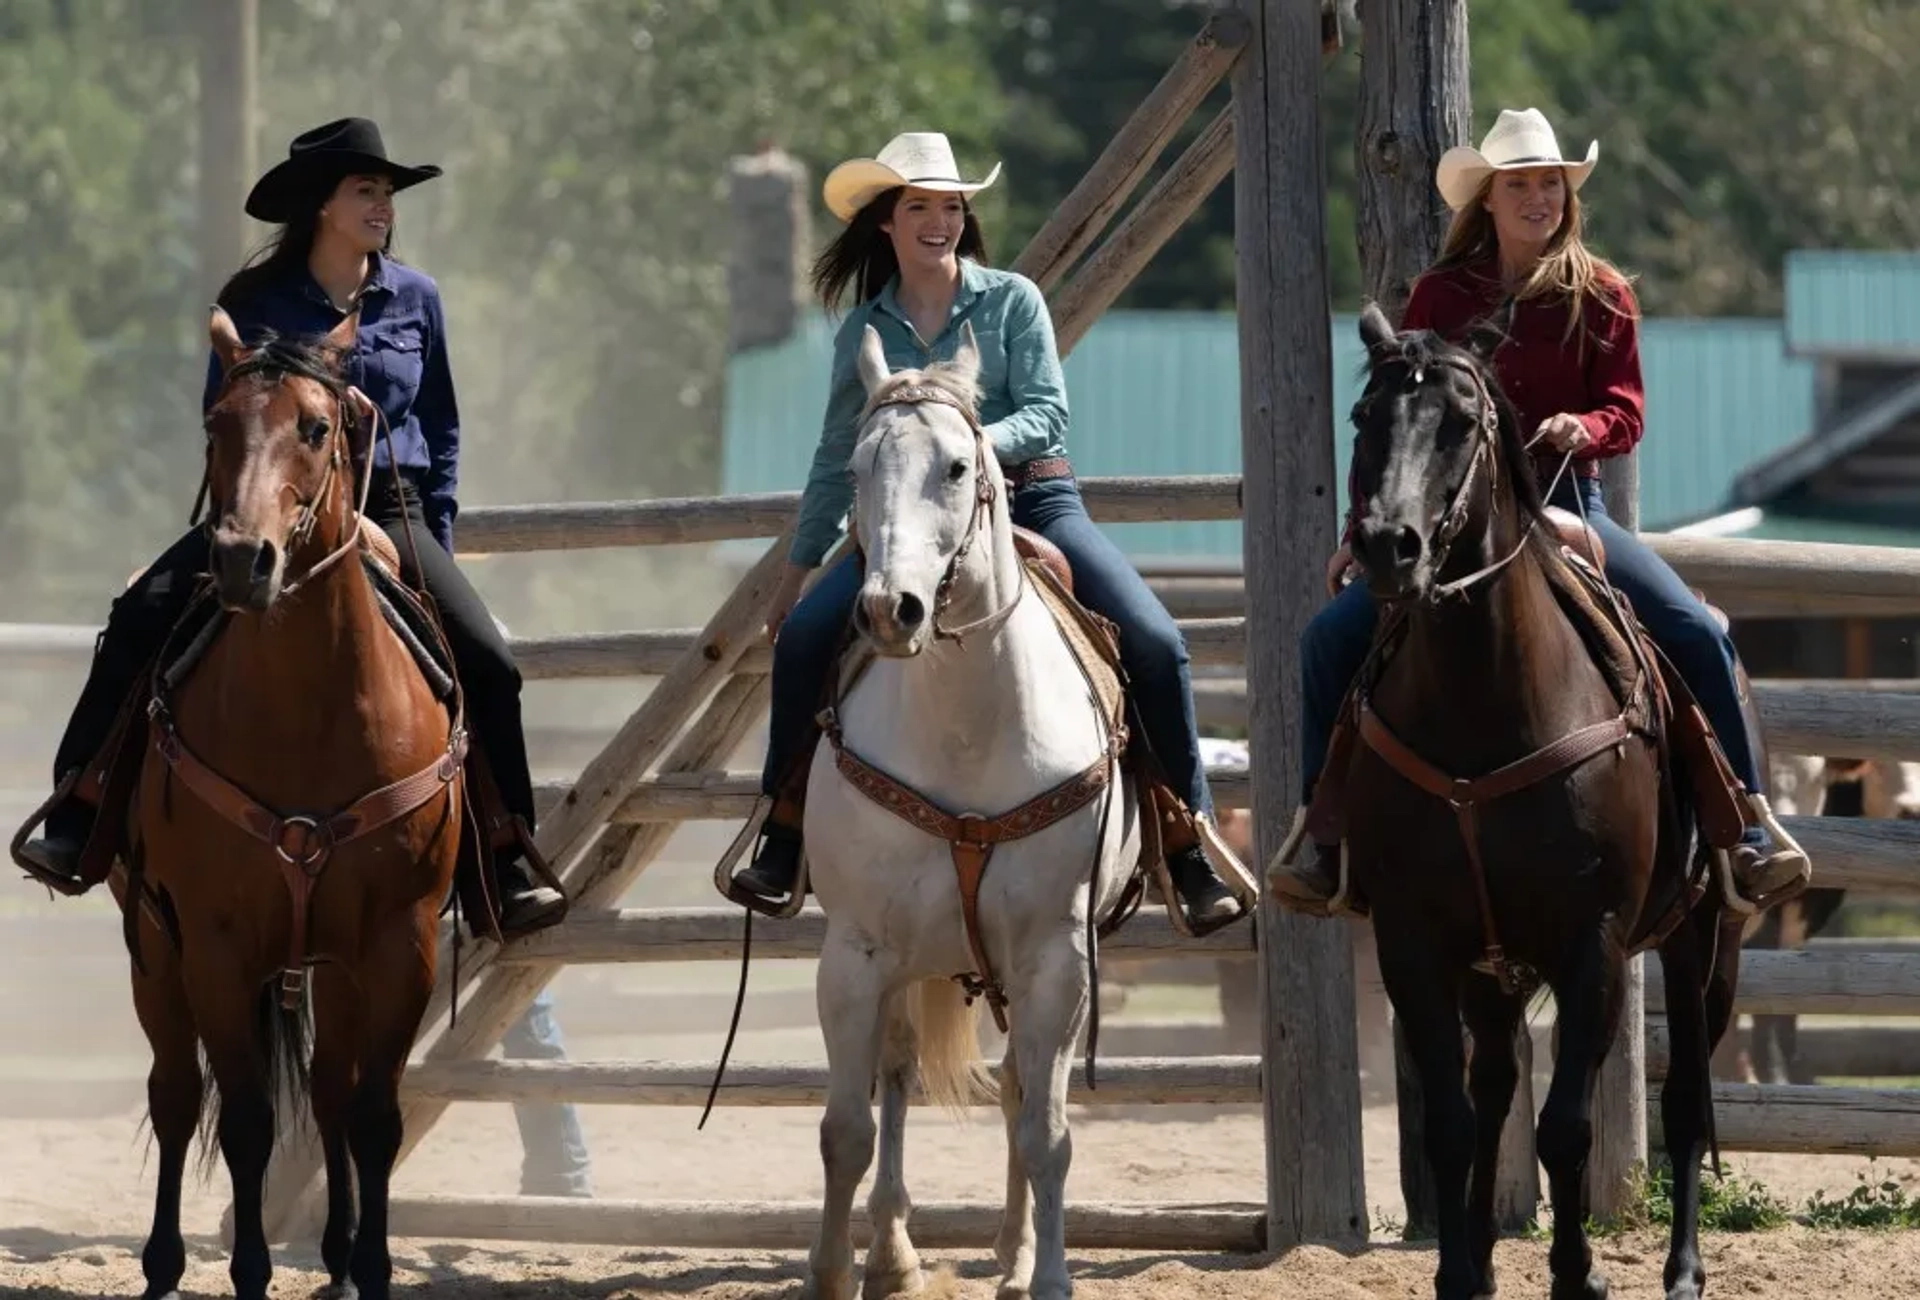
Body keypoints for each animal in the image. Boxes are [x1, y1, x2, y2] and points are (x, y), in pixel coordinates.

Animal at [123, 307, 464, 1298]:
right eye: (216, 426)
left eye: (317, 427)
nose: (244, 561)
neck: (311, 711)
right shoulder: (216, 946)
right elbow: (244, 1123)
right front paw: (248, 1273)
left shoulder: (399, 942)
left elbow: (374, 1116)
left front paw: (373, 1270)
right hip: (152, 944)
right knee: (175, 1093)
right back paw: (162, 1266)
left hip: (330, 965)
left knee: (329, 1093)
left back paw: (342, 1261)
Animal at [798, 322, 1136, 1298]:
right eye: (860, 466)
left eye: (956, 466)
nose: (890, 610)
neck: (966, 726)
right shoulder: (856, 954)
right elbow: (847, 1130)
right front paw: (832, 1271)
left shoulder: (1059, 960)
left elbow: (1048, 1133)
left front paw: (1051, 1277)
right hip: (913, 963)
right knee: (899, 1076)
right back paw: (892, 1252)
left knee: (1021, 1092)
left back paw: (1013, 1255)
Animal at [1344, 301, 1751, 1298]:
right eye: (1365, 417)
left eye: (1461, 423)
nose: (1388, 546)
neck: (1486, 704)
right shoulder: (1414, 941)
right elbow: (1452, 1121)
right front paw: (1460, 1272)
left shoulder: (1592, 939)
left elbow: (1567, 1127)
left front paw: (1579, 1275)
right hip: (1497, 968)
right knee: (1493, 1087)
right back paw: (1487, 1258)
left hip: (1702, 941)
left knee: (1685, 1100)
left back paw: (1684, 1268)